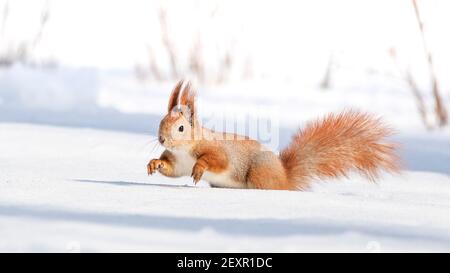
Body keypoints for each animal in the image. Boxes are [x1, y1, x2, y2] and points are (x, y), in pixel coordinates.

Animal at [146, 78, 400, 189]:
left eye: (181, 128)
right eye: (161, 121)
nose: (162, 139)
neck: (184, 150)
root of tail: (285, 177)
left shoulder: (220, 152)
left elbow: (216, 161)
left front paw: (199, 168)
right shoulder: (179, 163)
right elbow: (171, 170)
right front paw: (154, 164)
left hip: (258, 172)